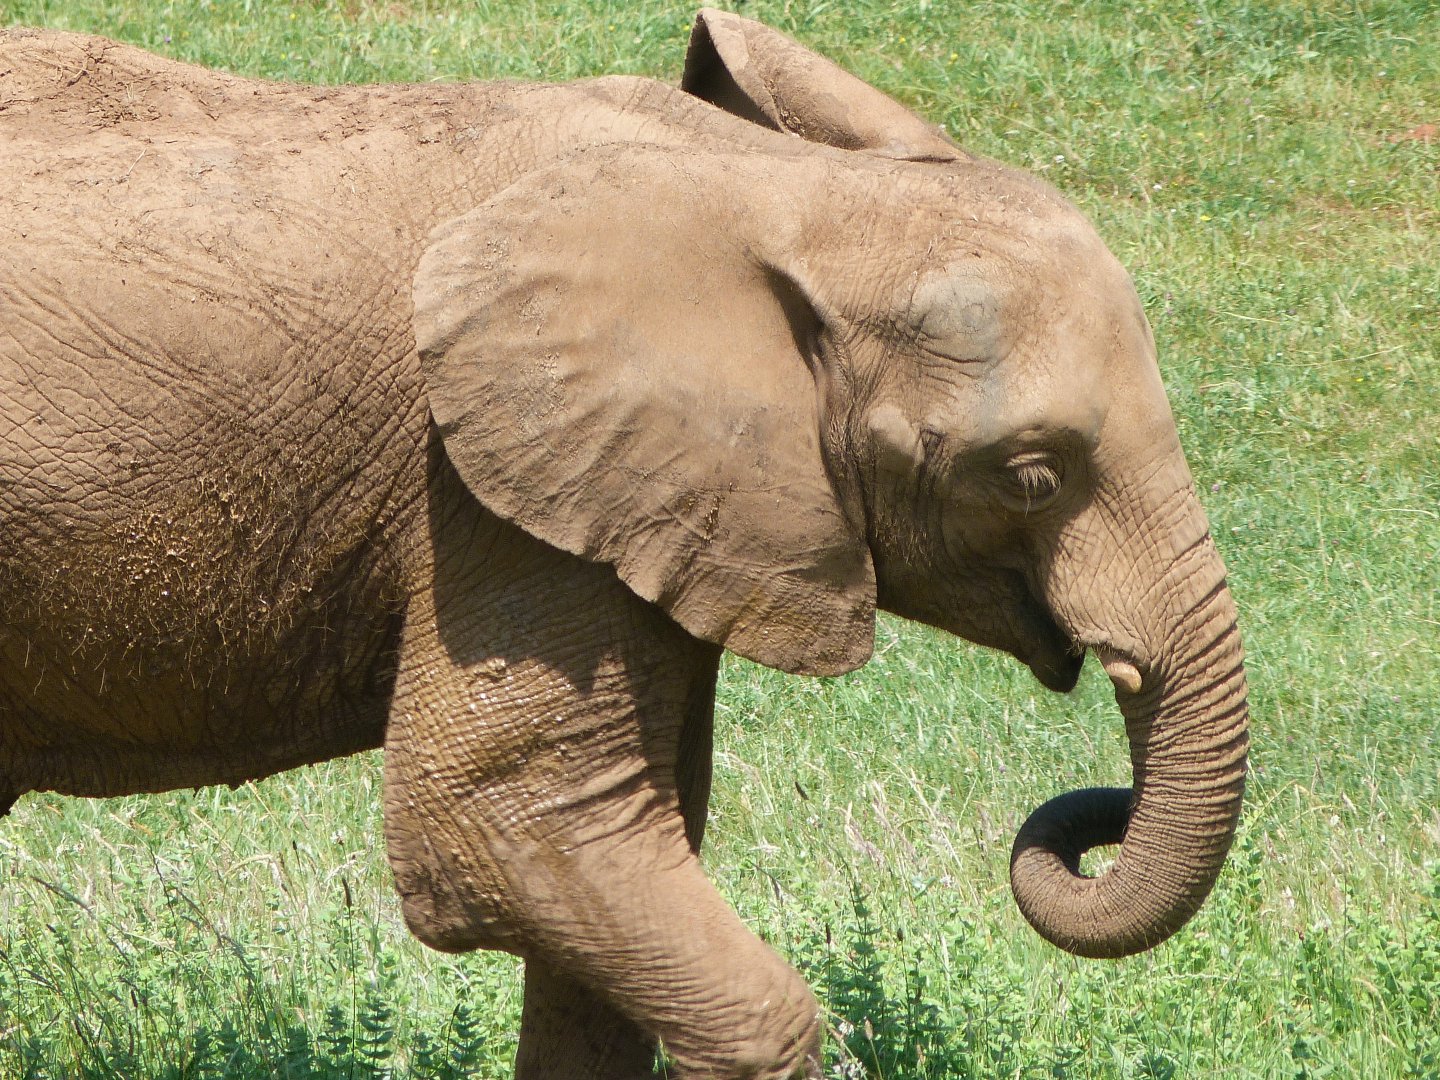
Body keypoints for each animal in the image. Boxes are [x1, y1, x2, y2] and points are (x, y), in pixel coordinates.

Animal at [0, 9, 1249, 1078]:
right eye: (1033, 475)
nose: (1092, 821)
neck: (782, 194)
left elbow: (616, 864)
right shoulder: (493, 489)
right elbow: (505, 829)